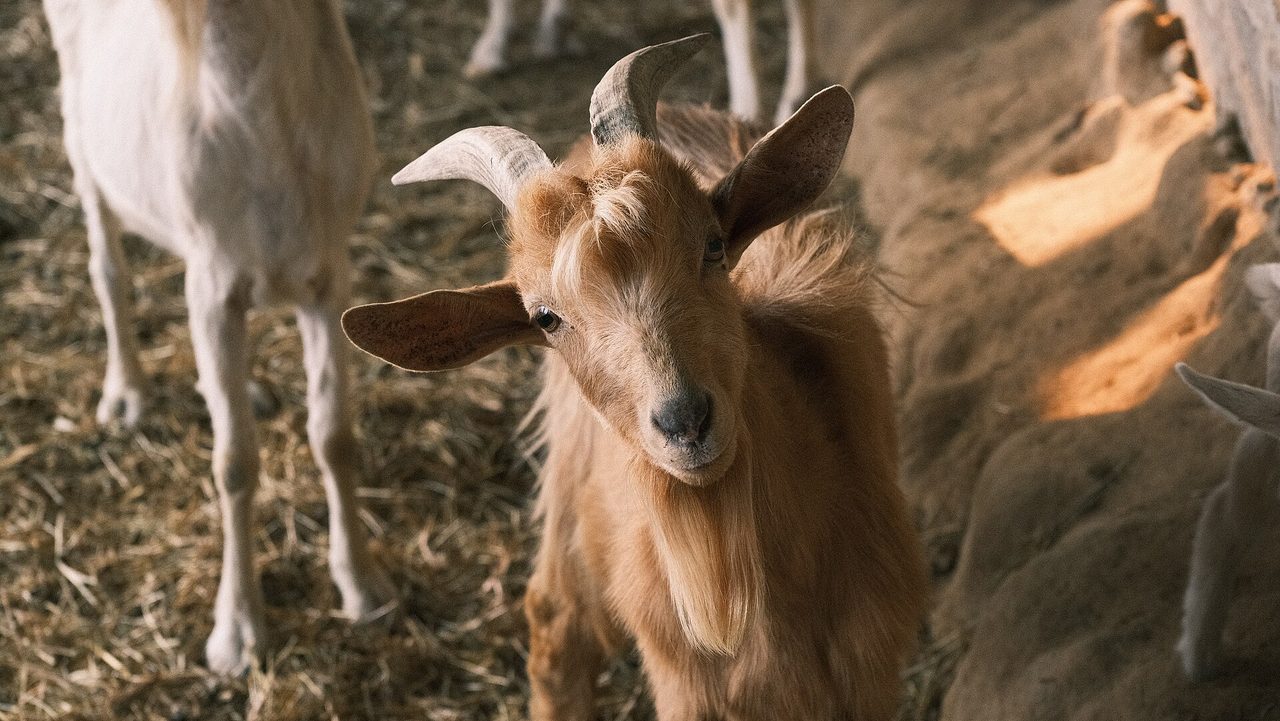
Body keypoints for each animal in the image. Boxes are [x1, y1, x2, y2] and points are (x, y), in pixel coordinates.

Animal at [41, 0, 395, 673]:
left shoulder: (327, 276)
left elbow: (334, 435)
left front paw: (365, 588)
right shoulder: (212, 287)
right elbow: (233, 463)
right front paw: (237, 634)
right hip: (80, 135)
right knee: (106, 265)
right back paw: (126, 395)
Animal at [345, 34, 927, 719]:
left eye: (712, 246)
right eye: (545, 317)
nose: (685, 422)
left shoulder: (869, 664)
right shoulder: (689, 684)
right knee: (556, 625)